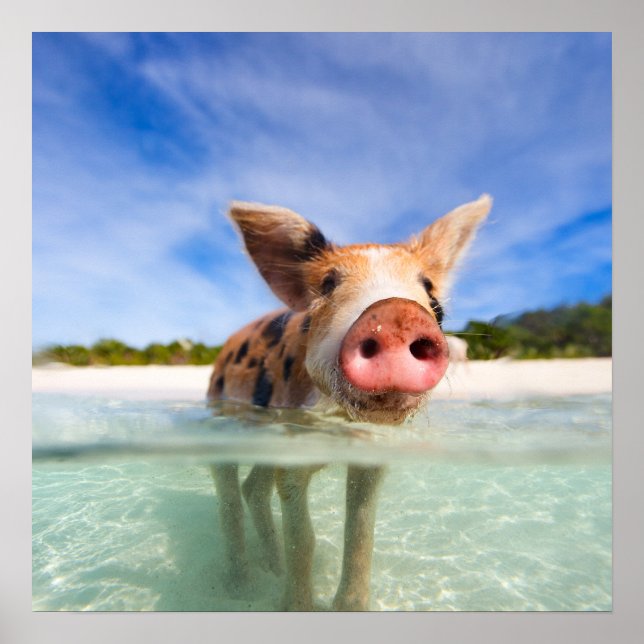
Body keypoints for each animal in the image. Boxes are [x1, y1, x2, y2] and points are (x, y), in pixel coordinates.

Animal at [207, 195, 491, 610]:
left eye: (431, 293)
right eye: (328, 284)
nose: (395, 313)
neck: (342, 423)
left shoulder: (370, 453)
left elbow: (360, 533)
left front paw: (349, 607)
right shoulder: (293, 449)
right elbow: (303, 540)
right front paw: (296, 609)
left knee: (253, 489)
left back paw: (271, 568)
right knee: (229, 491)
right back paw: (240, 587)